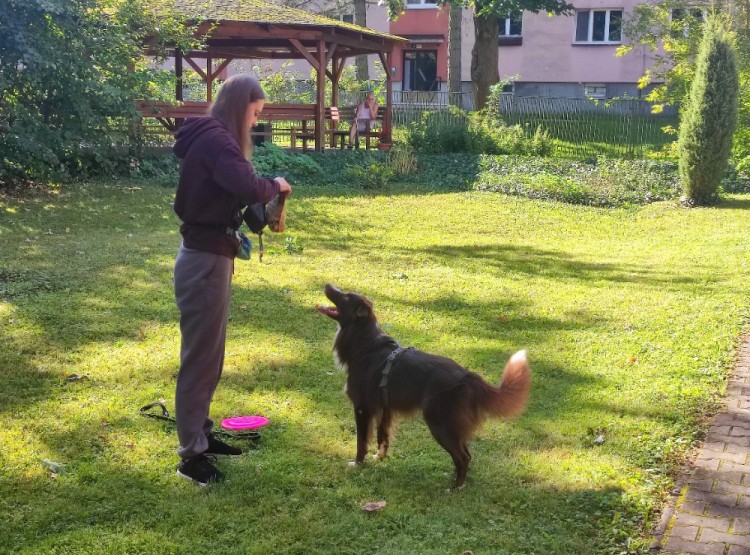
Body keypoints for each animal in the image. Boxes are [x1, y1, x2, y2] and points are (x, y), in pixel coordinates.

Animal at [316, 284, 528, 488]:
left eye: (345, 297)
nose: (327, 284)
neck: (365, 343)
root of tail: (468, 376)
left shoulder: (362, 407)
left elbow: (361, 441)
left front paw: (358, 463)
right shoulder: (385, 408)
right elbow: (382, 437)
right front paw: (380, 457)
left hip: (439, 423)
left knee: (463, 456)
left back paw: (455, 487)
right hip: (450, 425)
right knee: (466, 453)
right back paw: (454, 479)